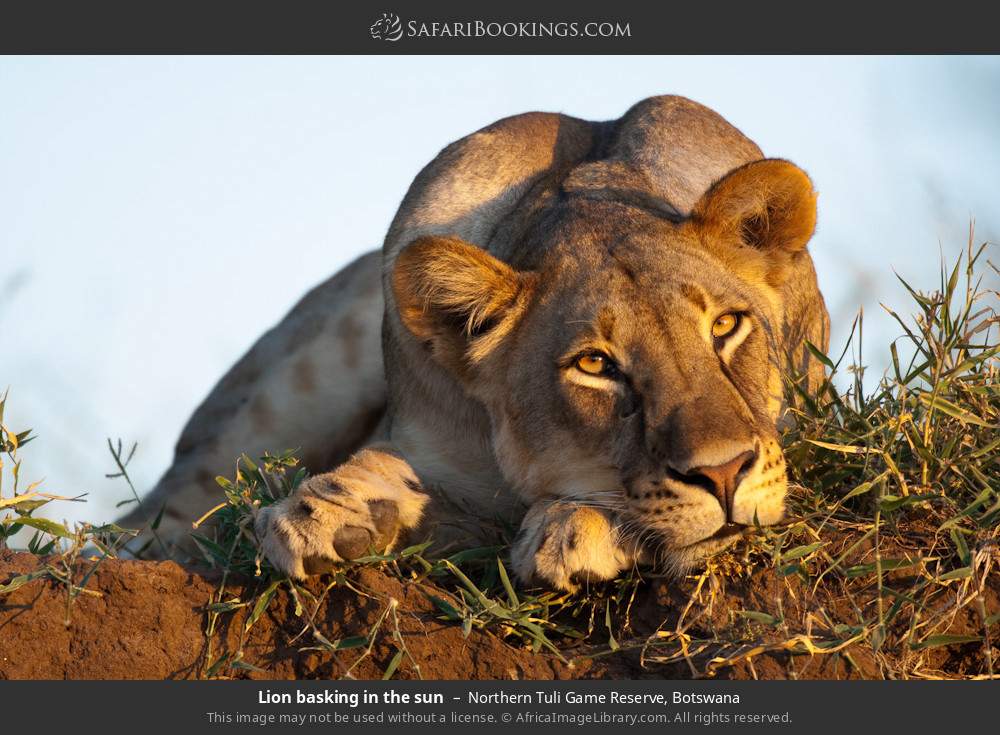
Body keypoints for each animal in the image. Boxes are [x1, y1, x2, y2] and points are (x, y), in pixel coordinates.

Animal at [122, 95, 829, 591]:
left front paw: (574, 527)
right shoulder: (423, 439)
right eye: (595, 364)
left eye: (725, 327)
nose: (722, 474)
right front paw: (322, 512)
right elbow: (385, 465)